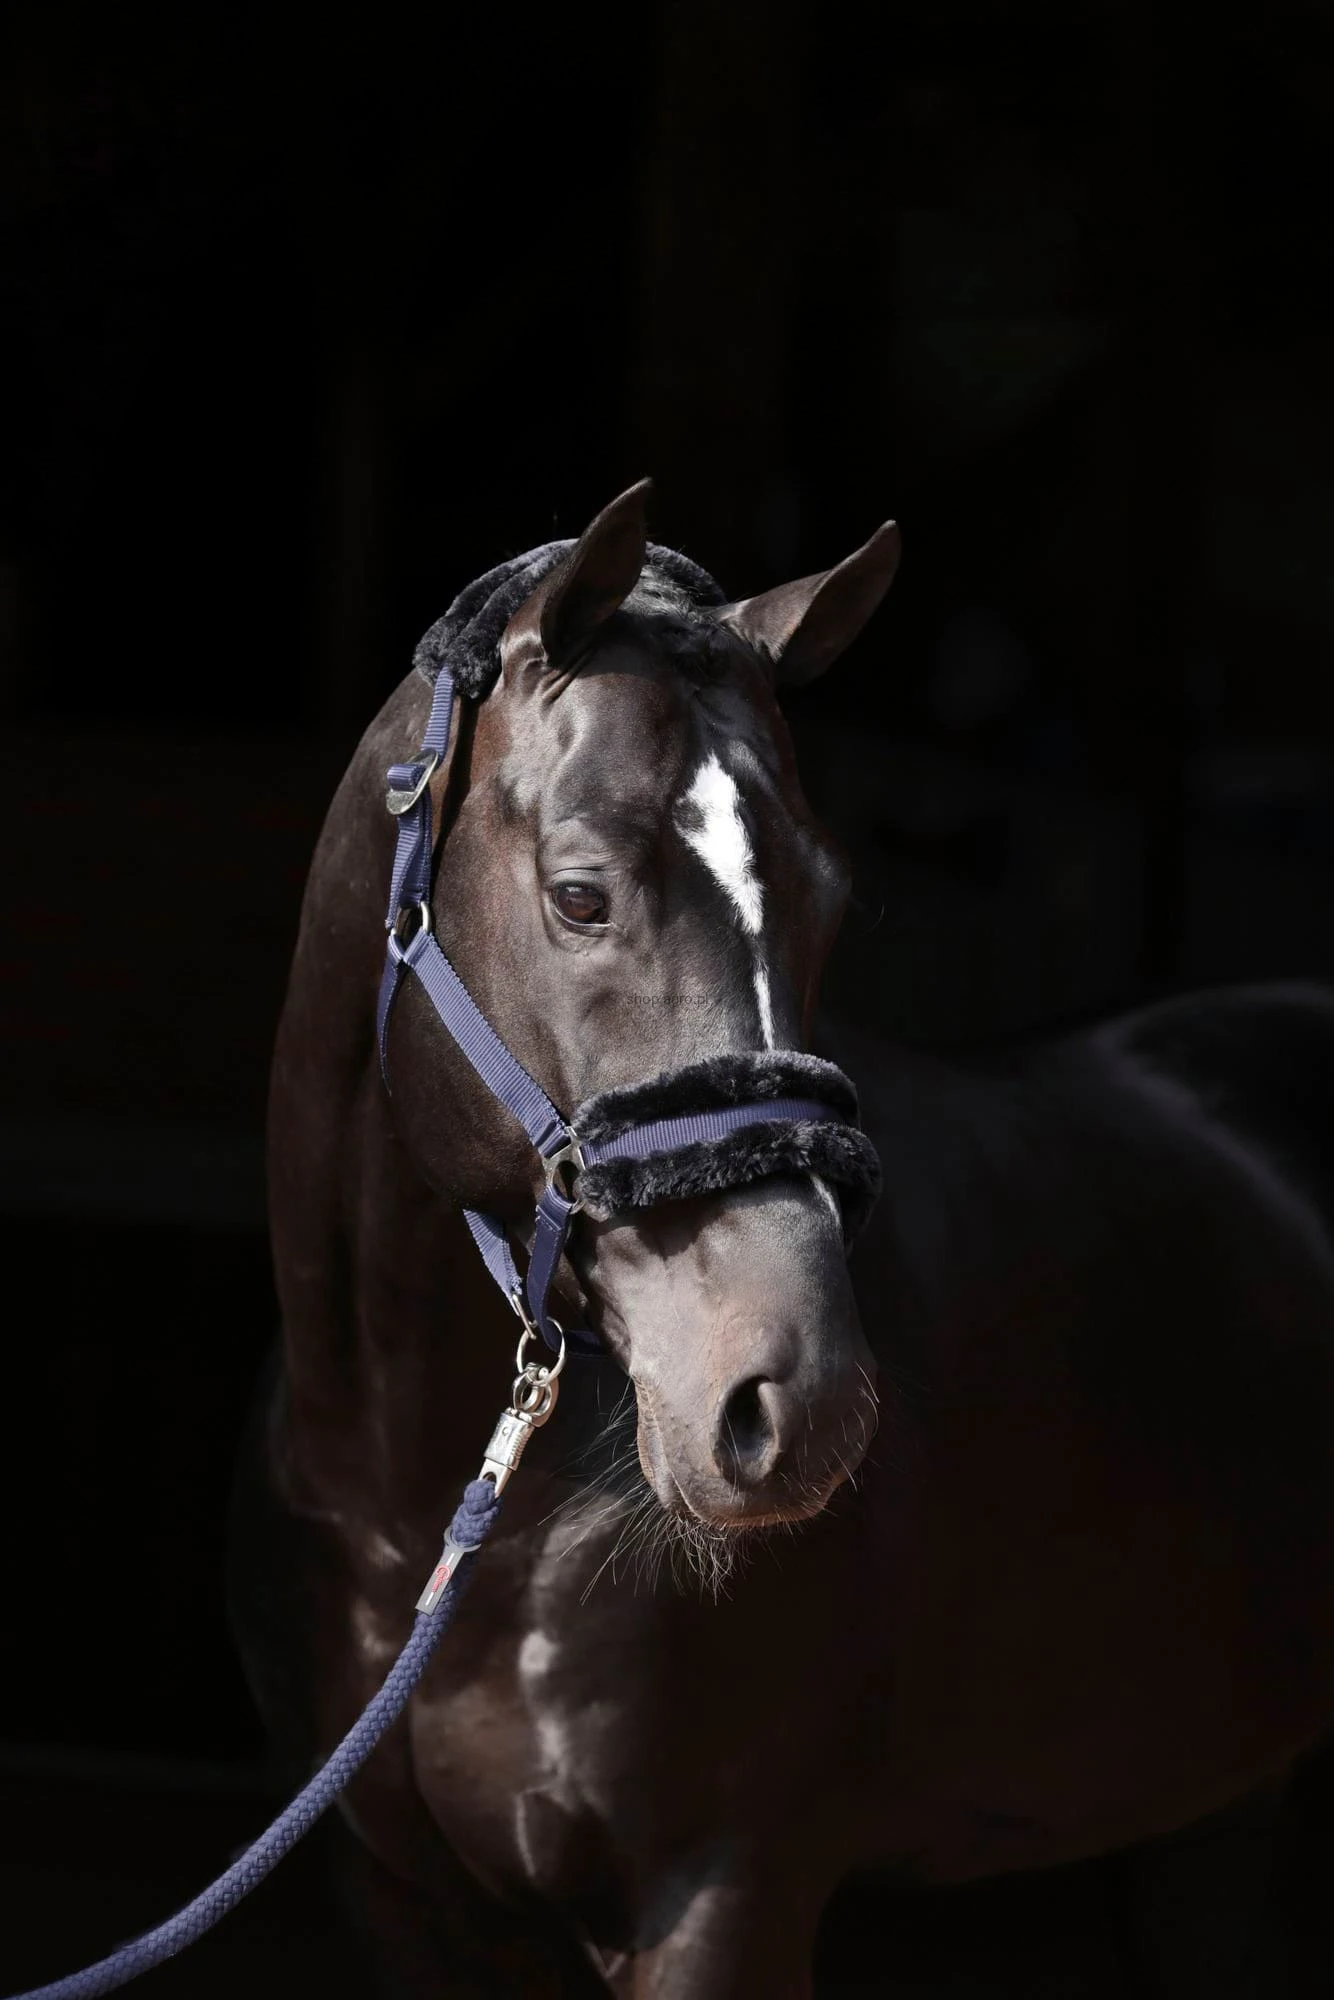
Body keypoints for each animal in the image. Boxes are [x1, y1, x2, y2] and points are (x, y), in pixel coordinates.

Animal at [233, 480, 1334, 1997]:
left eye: (824, 899)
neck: (433, 1535)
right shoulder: (401, 1906)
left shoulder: (724, 1897)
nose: (792, 1403)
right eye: (580, 894)